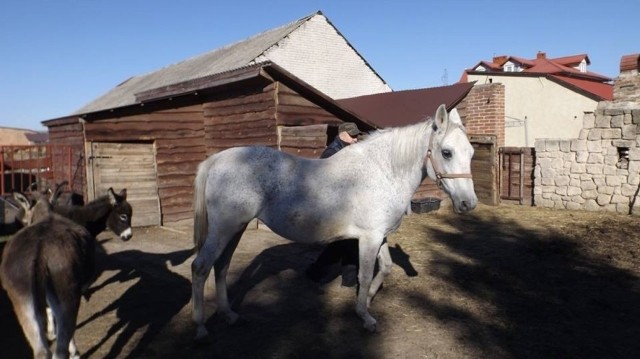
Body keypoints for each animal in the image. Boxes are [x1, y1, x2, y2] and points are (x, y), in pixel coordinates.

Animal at [190, 103, 476, 340]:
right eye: (447, 152)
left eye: (471, 152)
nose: (468, 203)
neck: (383, 172)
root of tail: (216, 160)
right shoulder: (369, 238)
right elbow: (364, 274)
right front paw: (366, 317)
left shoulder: (379, 236)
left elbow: (385, 268)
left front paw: (367, 301)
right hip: (223, 229)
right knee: (201, 268)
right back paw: (201, 328)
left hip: (235, 229)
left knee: (221, 267)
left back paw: (230, 316)